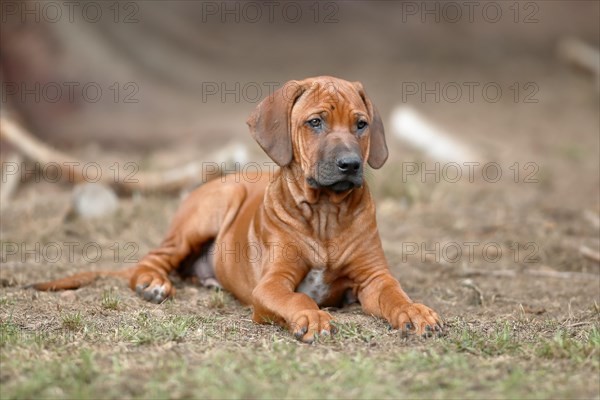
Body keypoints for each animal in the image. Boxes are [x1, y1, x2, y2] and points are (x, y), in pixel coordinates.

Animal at [34, 76, 446, 342]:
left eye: (361, 125)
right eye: (315, 122)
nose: (350, 165)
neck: (325, 214)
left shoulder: (374, 277)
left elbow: (395, 294)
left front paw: (415, 311)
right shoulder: (272, 284)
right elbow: (296, 297)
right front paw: (312, 317)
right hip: (210, 210)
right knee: (151, 259)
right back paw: (152, 283)